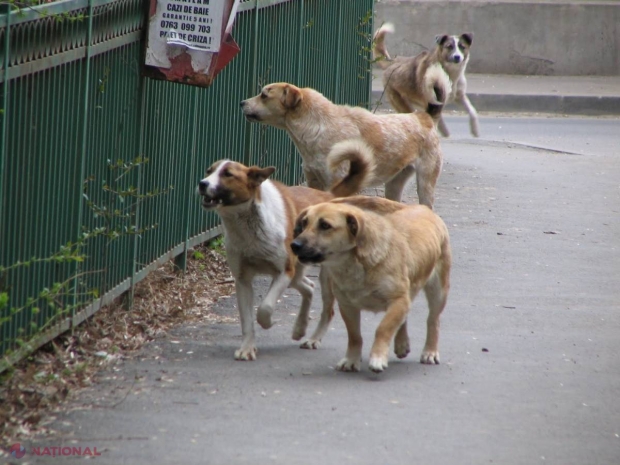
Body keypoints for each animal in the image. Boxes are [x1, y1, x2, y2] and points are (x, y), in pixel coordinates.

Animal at [199, 147, 372, 360]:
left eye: (227, 174)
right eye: (209, 171)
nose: (202, 183)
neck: (247, 225)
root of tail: (329, 196)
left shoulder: (284, 272)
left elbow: (264, 308)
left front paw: (268, 323)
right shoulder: (242, 280)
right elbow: (246, 320)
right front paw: (247, 348)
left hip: (324, 276)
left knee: (327, 309)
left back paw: (313, 338)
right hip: (297, 272)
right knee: (308, 287)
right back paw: (299, 328)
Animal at [240, 82, 444, 208]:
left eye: (264, 95)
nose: (241, 102)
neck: (318, 126)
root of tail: (424, 117)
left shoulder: (340, 183)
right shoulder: (313, 181)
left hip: (425, 183)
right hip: (394, 185)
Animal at [290, 196, 450, 374]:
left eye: (325, 225)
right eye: (304, 223)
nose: (294, 245)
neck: (356, 264)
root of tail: (423, 208)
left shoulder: (398, 301)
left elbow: (383, 328)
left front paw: (378, 357)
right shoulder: (348, 306)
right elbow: (354, 336)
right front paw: (351, 360)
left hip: (438, 291)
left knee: (433, 320)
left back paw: (430, 351)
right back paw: (401, 343)